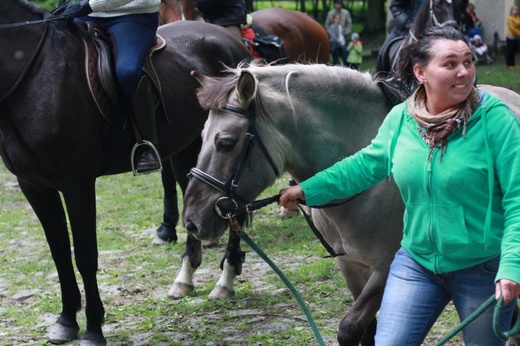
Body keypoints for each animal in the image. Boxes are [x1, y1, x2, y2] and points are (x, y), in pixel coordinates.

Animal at [0, 1, 251, 344]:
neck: (36, 74)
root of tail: (229, 38)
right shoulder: (34, 186)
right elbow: (60, 254)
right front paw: (66, 320)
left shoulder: (77, 183)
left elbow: (85, 255)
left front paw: (93, 327)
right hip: (188, 152)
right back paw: (184, 279)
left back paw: (225, 281)